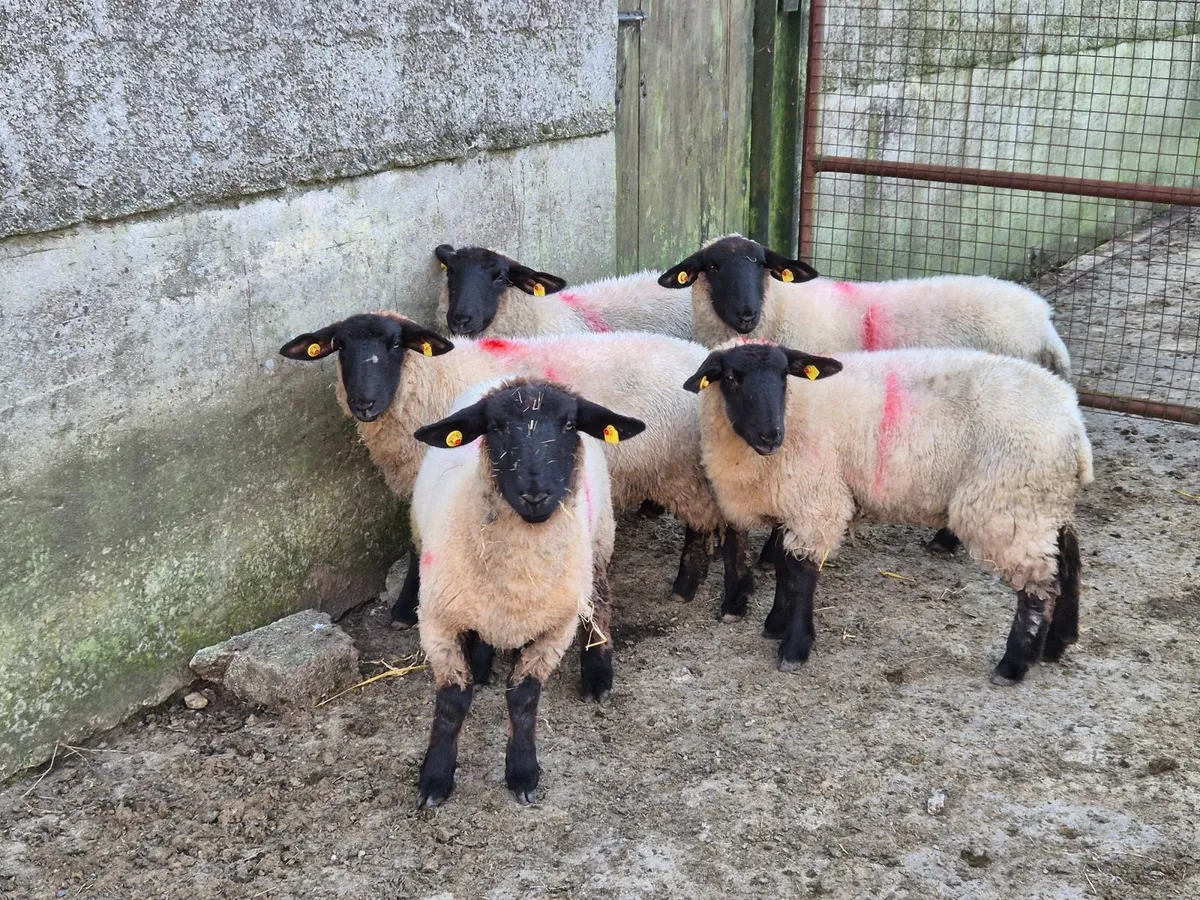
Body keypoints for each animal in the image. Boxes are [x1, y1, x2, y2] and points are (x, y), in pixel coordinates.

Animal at [278, 314, 754, 629]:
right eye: (341, 347)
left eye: (396, 345)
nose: (364, 403)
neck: (433, 378)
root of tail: (701, 361)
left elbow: (417, 546)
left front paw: (403, 609)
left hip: (685, 464)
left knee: (719, 522)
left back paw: (712, 590)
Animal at [410, 377, 644, 806]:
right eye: (495, 426)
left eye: (569, 424)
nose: (535, 494)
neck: (518, 579)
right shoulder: (437, 622)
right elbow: (452, 702)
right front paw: (435, 778)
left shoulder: (556, 629)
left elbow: (524, 698)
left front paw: (522, 772)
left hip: (599, 540)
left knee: (601, 601)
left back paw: (598, 672)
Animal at [662, 234, 1074, 562]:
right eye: (711, 266)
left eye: (762, 264)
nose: (746, 314)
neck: (784, 310)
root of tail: (1043, 320)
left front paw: (772, 554)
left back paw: (945, 540)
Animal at [684, 340, 1092, 683]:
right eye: (731, 377)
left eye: (785, 375)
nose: (772, 435)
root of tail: (1074, 425)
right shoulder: (793, 502)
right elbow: (786, 567)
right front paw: (774, 624)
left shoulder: (815, 500)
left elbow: (801, 576)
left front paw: (794, 647)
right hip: (1045, 505)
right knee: (1068, 562)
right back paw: (1057, 643)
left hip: (1010, 506)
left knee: (1037, 589)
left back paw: (1014, 664)